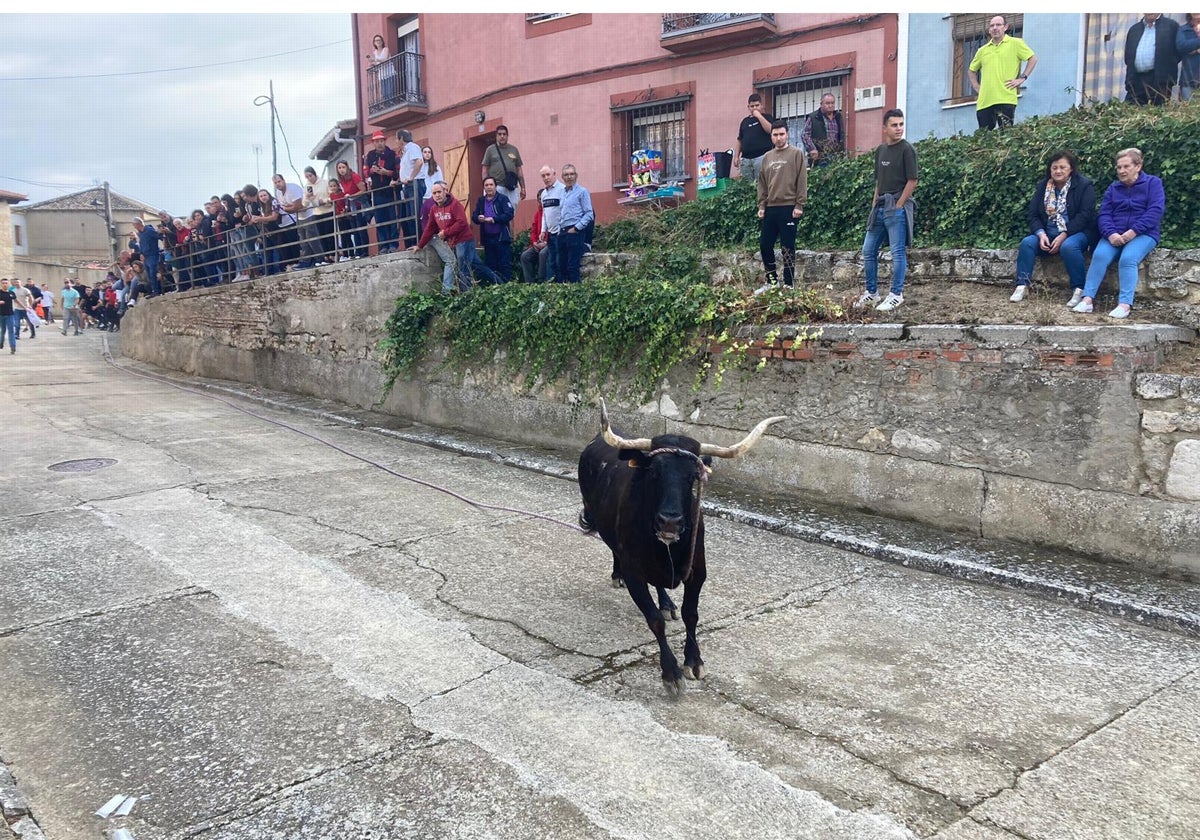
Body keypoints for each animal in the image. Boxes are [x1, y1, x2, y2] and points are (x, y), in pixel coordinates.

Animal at [573, 403, 782, 691]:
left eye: (692, 477)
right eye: (654, 472)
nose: (669, 521)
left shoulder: (698, 570)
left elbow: (690, 614)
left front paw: (694, 661)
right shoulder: (634, 572)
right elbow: (654, 620)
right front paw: (670, 672)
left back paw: (666, 601)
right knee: (615, 550)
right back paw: (618, 576)